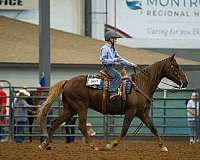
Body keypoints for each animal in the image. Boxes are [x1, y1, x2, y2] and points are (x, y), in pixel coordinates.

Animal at [38, 55, 188, 151]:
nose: (185, 82)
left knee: (55, 122)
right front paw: (111, 145)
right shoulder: (131, 111)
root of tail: (67, 81)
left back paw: (45, 144)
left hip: (70, 109)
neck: (141, 85)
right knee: (81, 126)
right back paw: (94, 146)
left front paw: (163, 146)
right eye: (175, 66)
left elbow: (153, 128)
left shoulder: (142, 113)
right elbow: (124, 130)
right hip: (80, 107)